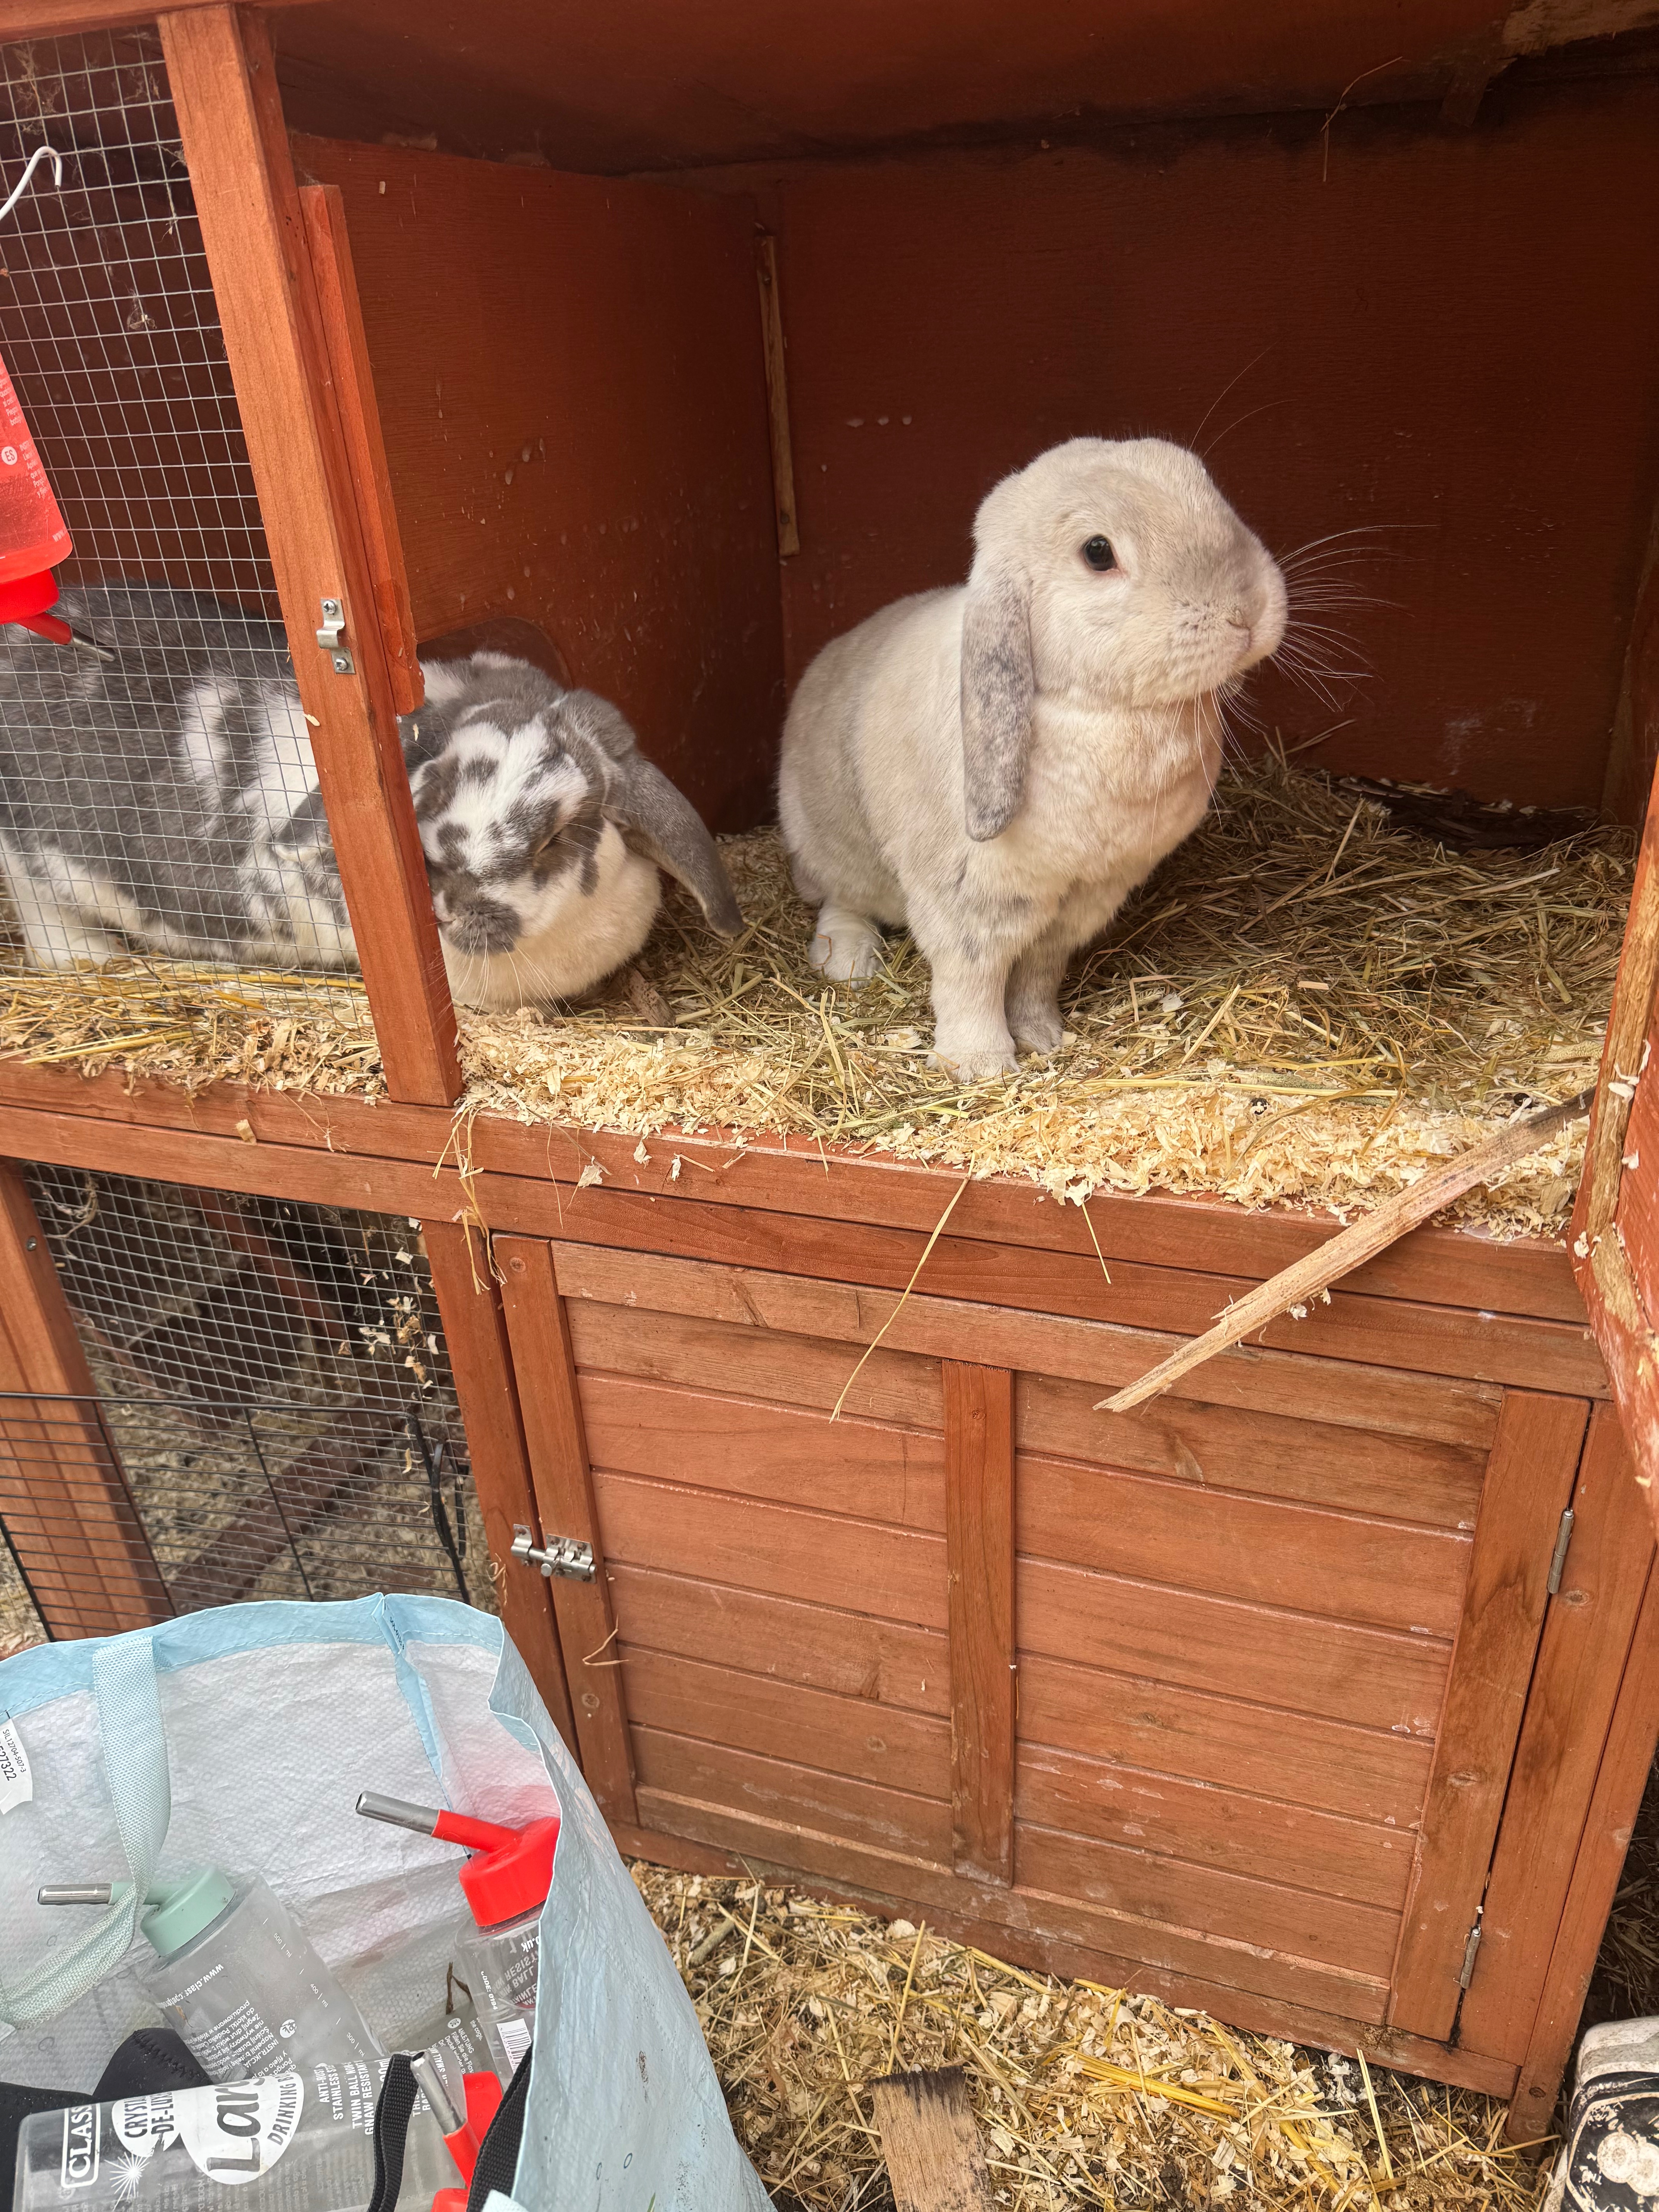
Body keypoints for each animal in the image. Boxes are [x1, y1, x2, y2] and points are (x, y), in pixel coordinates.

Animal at [777, 438, 1287, 1078]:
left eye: (1206, 486)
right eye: (1098, 553)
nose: (1249, 610)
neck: (1098, 711)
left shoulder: (1083, 899)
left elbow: (1037, 973)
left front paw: (1042, 1036)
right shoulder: (966, 902)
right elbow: (972, 979)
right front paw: (980, 1066)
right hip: (833, 844)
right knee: (840, 900)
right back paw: (848, 960)